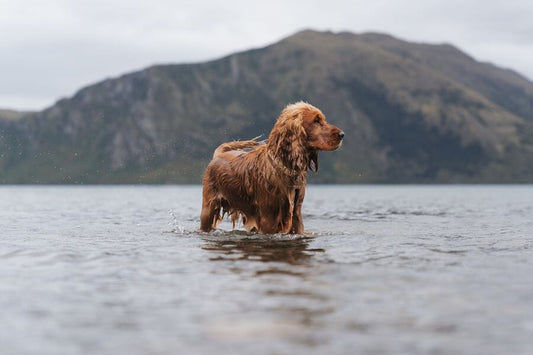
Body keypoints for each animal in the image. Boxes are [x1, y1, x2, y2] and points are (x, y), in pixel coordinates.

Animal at [198, 101, 340, 235]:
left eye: (323, 119)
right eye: (316, 121)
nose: (342, 134)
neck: (285, 168)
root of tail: (219, 154)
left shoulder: (296, 213)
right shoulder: (268, 218)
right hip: (208, 209)